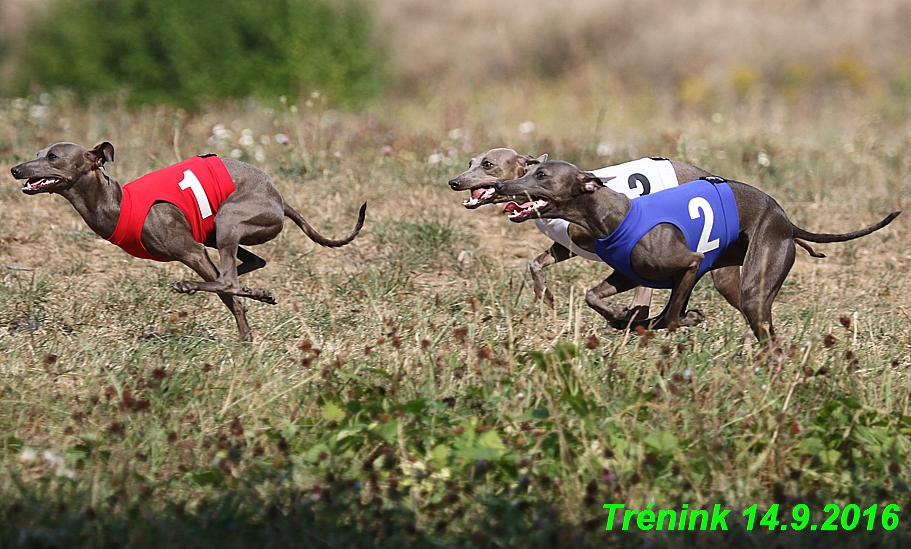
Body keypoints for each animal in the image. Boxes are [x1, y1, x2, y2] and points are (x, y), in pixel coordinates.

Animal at [10, 142, 367, 341]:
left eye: (53, 156)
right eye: (37, 153)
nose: (14, 169)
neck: (117, 202)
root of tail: (280, 201)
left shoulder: (191, 252)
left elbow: (229, 295)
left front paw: (247, 335)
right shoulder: (198, 250)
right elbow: (234, 292)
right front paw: (254, 313)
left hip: (227, 220)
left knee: (228, 279)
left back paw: (199, 287)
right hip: (216, 233)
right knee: (247, 265)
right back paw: (258, 291)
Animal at [448, 148, 744, 324]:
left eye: (488, 164)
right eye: (470, 162)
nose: (454, 181)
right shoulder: (566, 245)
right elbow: (535, 264)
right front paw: (546, 295)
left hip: (723, 278)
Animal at [494, 160, 899, 345]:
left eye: (541, 176)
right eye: (530, 170)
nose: (501, 187)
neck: (615, 213)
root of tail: (787, 221)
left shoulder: (690, 263)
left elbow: (671, 317)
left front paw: (662, 319)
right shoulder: (627, 273)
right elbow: (594, 296)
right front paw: (621, 317)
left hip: (751, 281)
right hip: (728, 276)